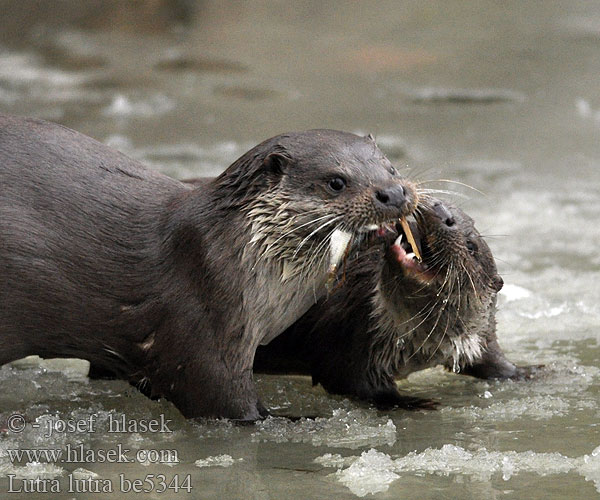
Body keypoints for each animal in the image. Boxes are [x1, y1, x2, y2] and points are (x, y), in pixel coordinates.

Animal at [0, 115, 420, 420]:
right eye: (336, 182)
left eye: (391, 168)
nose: (393, 193)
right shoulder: (205, 315)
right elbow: (217, 398)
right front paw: (292, 420)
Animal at [253, 197, 540, 408]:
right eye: (450, 211)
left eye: (471, 246)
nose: (442, 210)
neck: (420, 348)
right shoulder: (351, 334)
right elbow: (352, 382)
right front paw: (412, 402)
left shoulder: (476, 334)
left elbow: (491, 358)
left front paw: (527, 372)